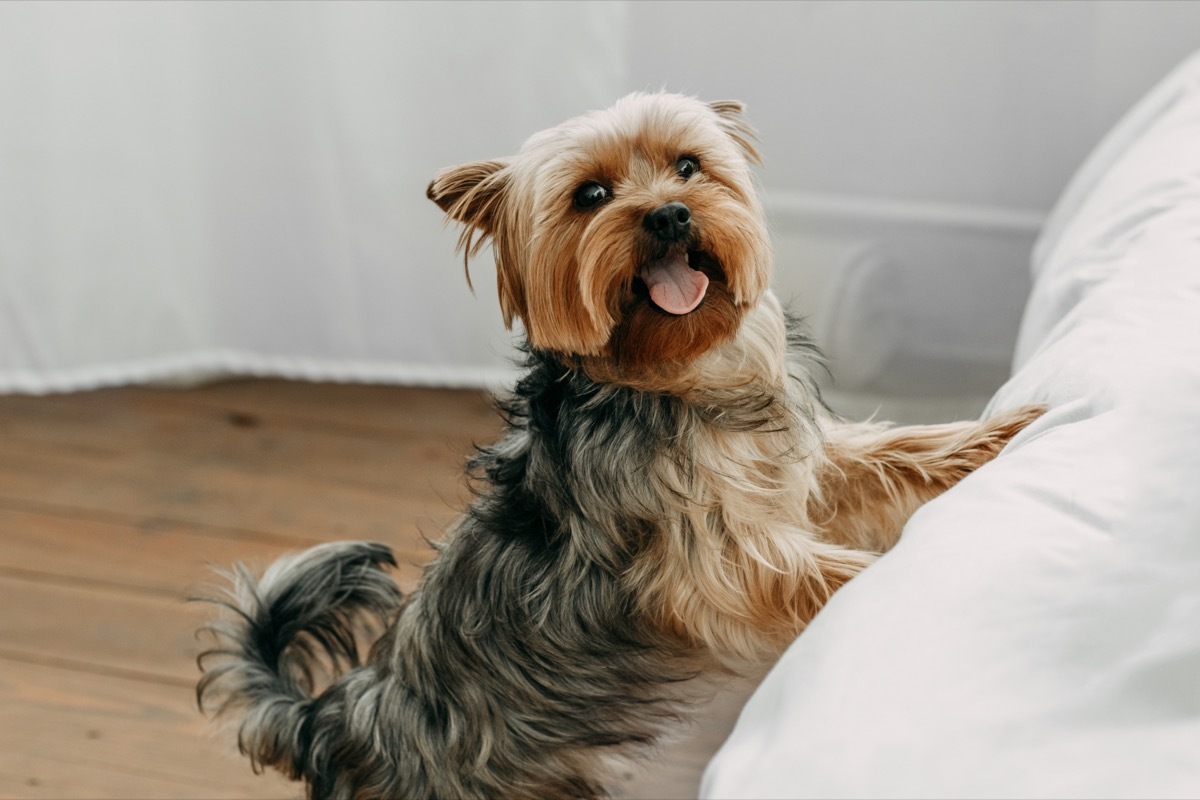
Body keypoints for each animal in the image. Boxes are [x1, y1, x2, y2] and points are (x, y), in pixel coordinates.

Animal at [194, 90, 1041, 796]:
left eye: (689, 166)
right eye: (591, 196)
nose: (667, 214)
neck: (679, 381)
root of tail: (334, 719)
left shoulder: (799, 470)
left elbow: (890, 454)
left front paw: (1002, 433)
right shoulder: (717, 561)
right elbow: (821, 570)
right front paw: (903, 577)